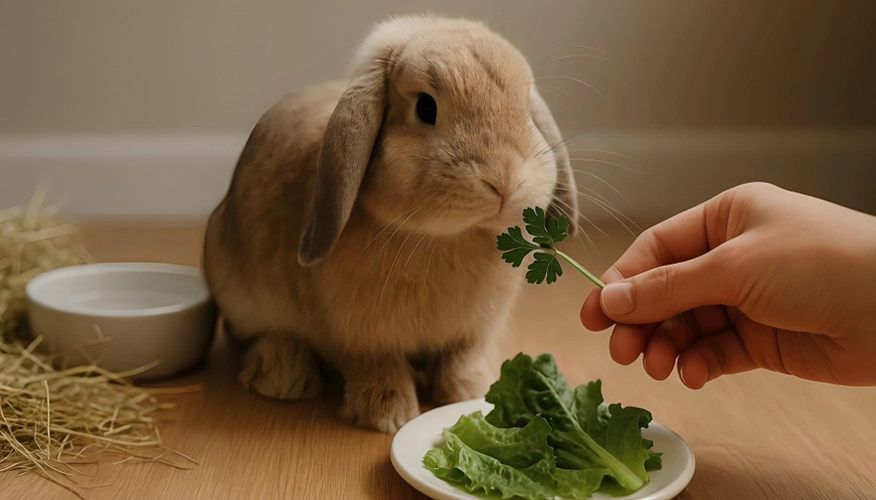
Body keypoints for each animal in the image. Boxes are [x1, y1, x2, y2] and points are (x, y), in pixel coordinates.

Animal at [202, 13, 579, 434]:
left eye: (526, 108)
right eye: (426, 108)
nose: (505, 181)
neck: (443, 237)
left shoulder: (470, 334)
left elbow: (460, 360)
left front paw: (470, 392)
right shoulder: (359, 337)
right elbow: (378, 367)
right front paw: (388, 414)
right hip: (241, 296)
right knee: (261, 338)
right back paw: (282, 377)